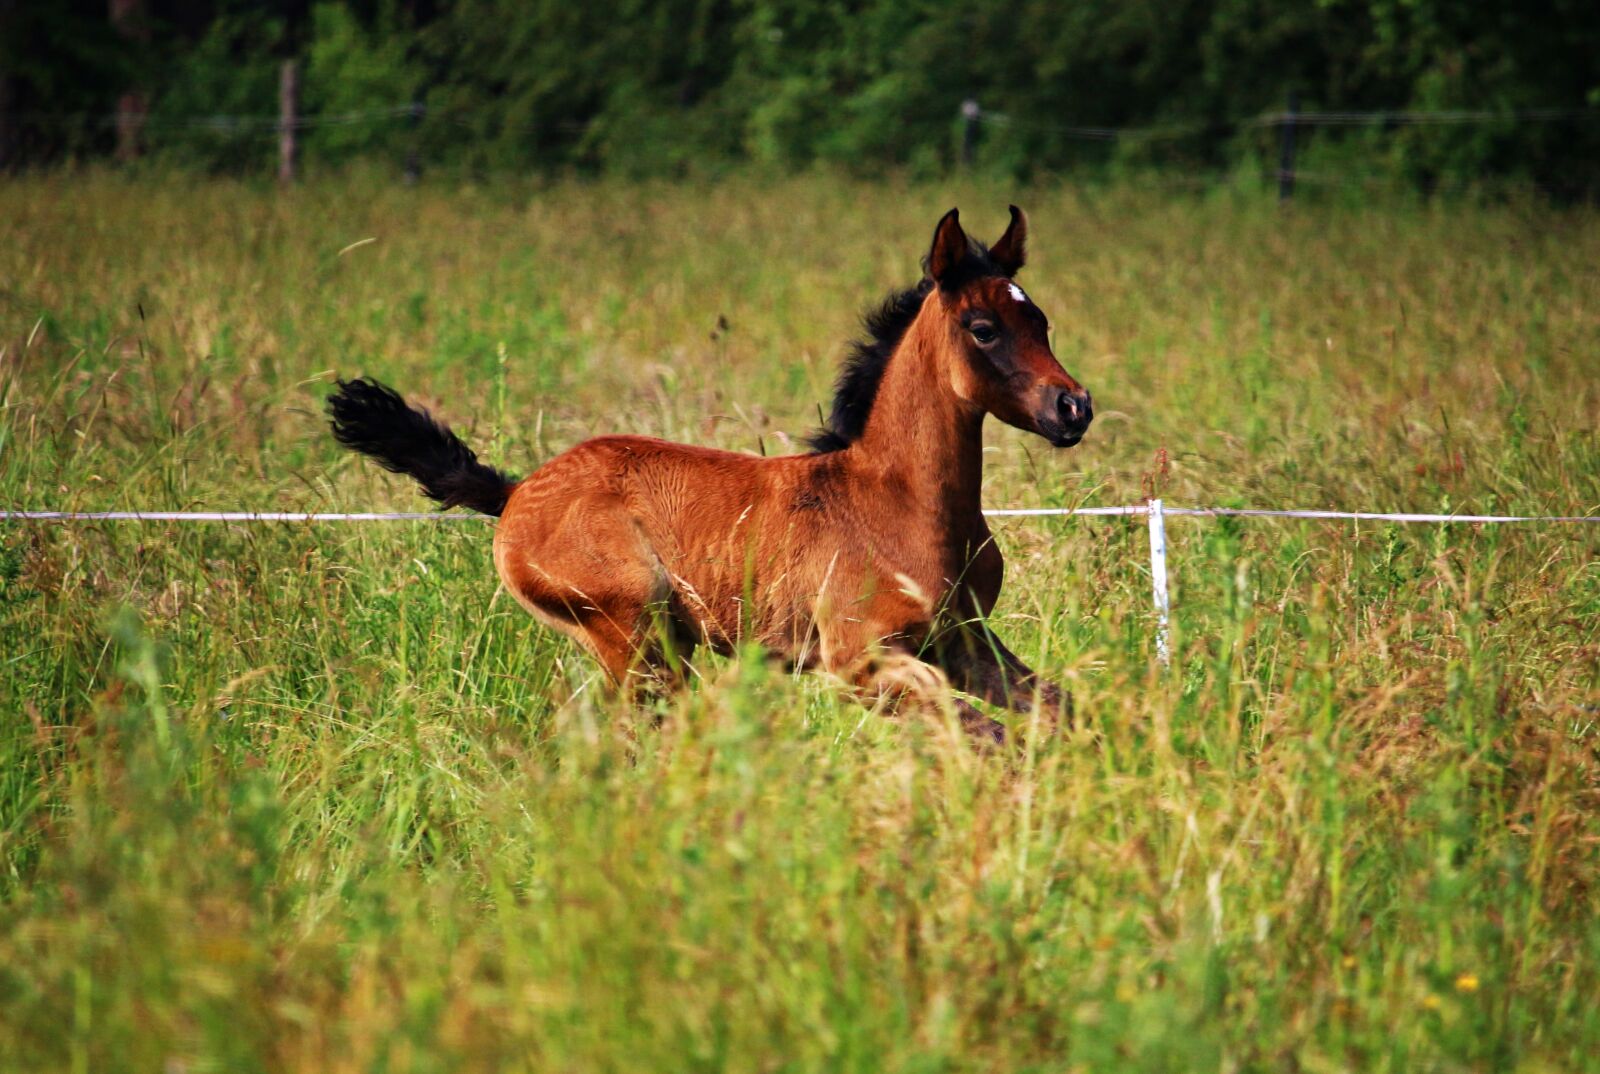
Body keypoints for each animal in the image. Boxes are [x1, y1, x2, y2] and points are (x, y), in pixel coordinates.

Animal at [327, 206, 1092, 740]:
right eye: (983, 329)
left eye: (1043, 322)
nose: (1073, 407)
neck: (899, 500)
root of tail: (514, 494)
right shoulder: (860, 663)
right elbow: (982, 738)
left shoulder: (964, 641)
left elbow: (1057, 712)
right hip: (637, 639)